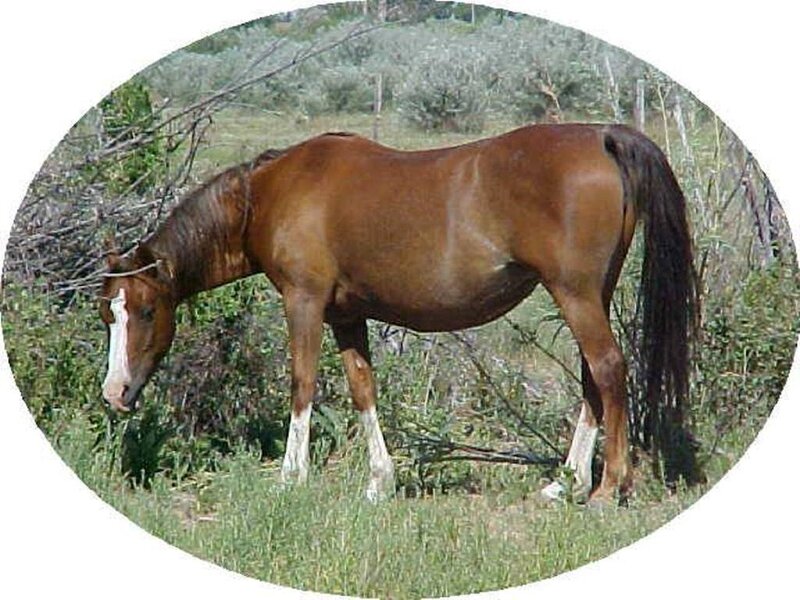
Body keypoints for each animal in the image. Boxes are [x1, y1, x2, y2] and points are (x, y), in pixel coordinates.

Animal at [99, 123, 697, 504]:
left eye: (146, 310)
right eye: (109, 315)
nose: (115, 393)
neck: (268, 194)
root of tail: (601, 135)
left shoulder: (303, 301)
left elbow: (302, 384)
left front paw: (292, 477)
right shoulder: (345, 315)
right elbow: (363, 388)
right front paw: (378, 483)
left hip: (574, 294)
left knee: (609, 371)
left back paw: (607, 488)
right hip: (590, 295)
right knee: (594, 380)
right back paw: (565, 483)